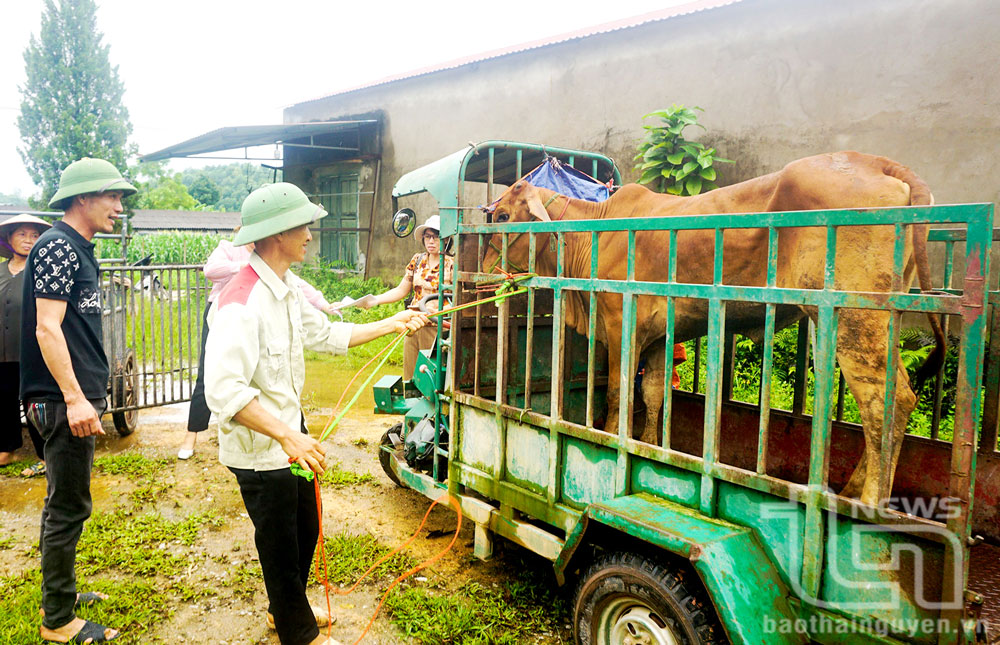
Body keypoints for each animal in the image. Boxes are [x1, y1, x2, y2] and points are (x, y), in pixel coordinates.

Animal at [484, 152, 944, 508]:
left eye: (504, 215)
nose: (482, 268)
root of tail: (877, 162)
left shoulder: (621, 327)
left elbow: (619, 396)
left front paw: (612, 441)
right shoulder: (658, 337)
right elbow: (653, 396)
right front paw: (650, 447)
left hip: (855, 320)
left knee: (887, 402)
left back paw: (867, 503)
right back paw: (850, 491)